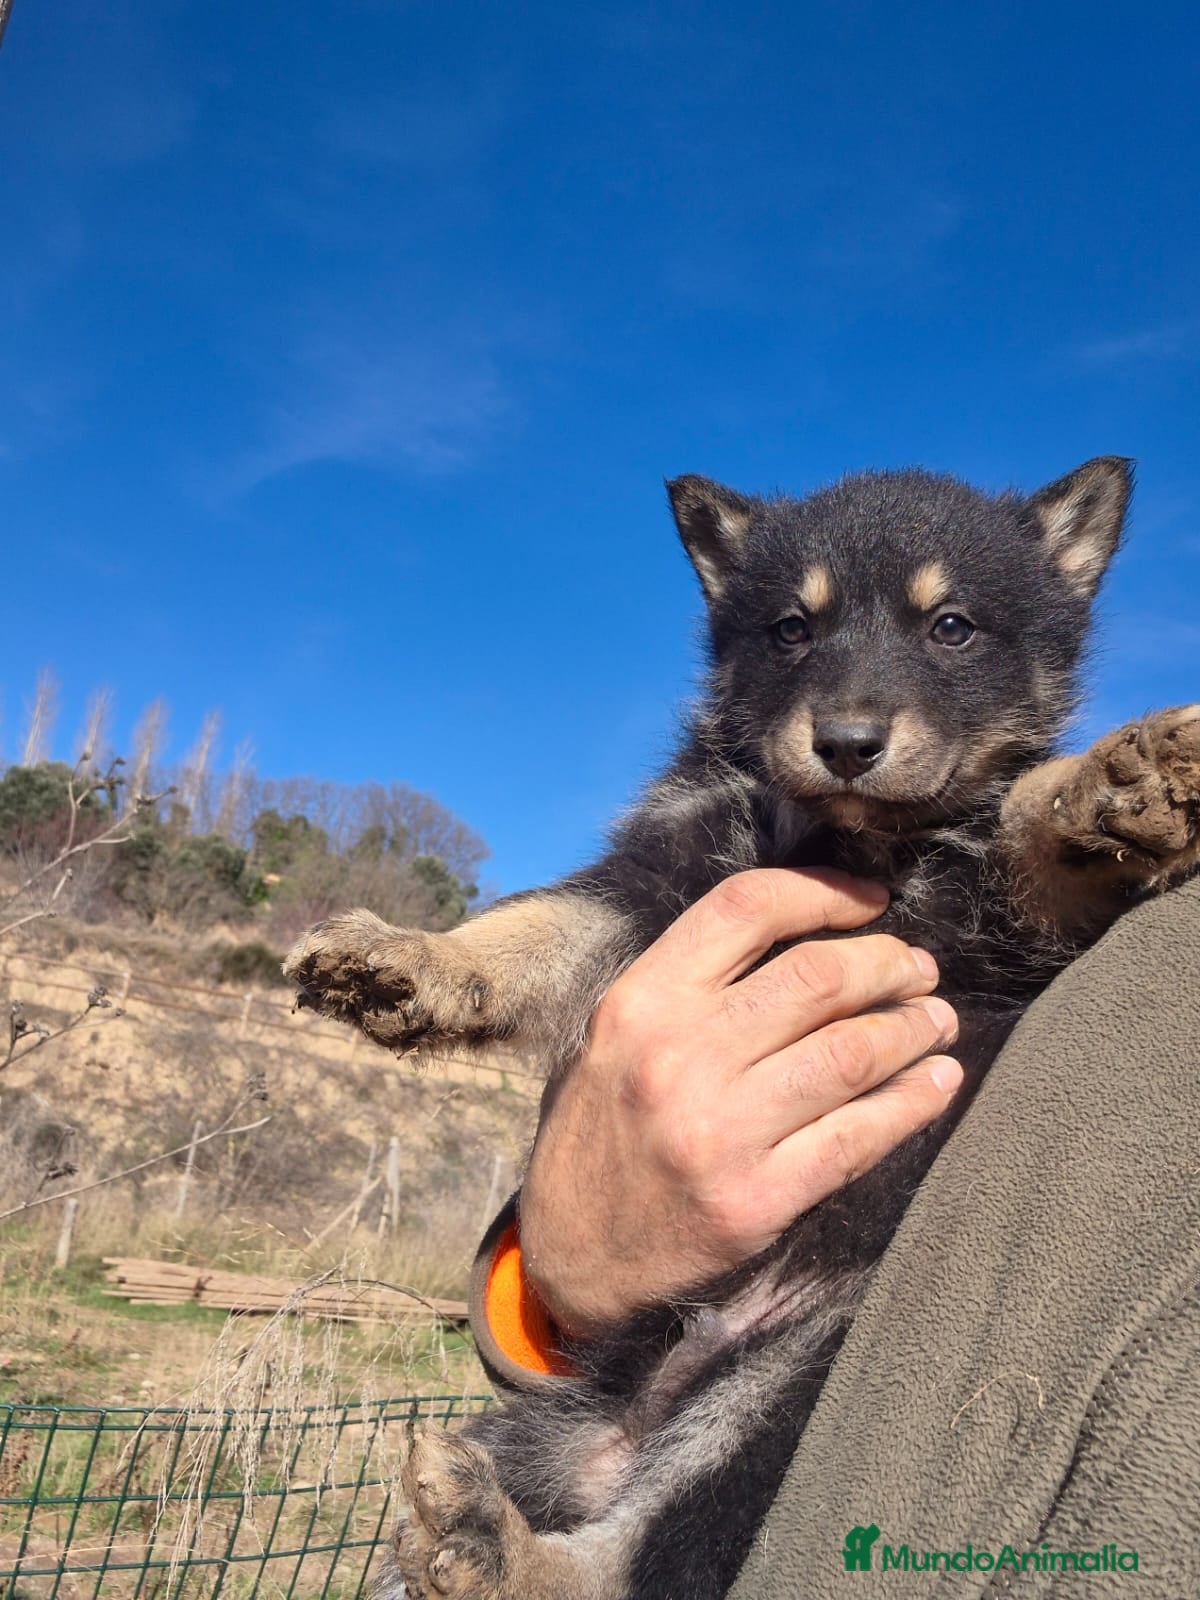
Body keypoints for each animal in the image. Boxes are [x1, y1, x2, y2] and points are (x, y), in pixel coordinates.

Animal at [285, 457, 1200, 1600]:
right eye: (791, 629)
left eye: (951, 627)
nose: (846, 744)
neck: (848, 840)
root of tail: (624, 1429)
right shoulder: (658, 883)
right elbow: (535, 923)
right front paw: (412, 957)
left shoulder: (998, 924)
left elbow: (1027, 826)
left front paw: (1112, 782)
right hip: (551, 1428)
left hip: (790, 1388)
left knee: (652, 1557)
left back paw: (499, 1549)